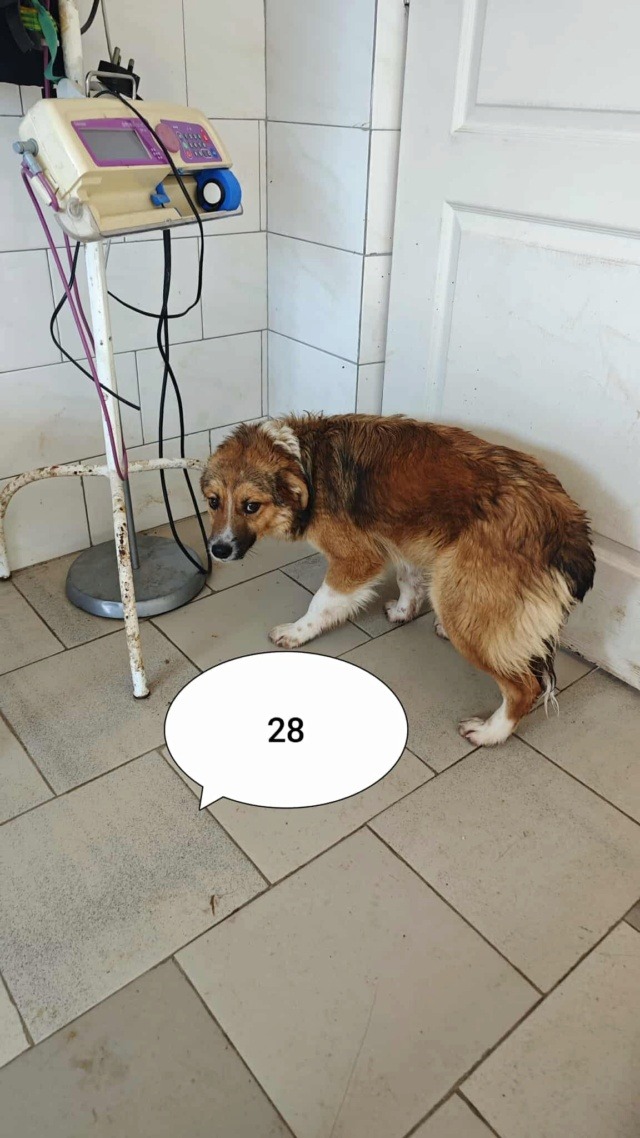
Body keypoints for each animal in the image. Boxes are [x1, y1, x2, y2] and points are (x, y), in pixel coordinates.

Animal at [200, 414, 595, 746]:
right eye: (213, 501)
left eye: (251, 506)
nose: (218, 550)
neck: (307, 464)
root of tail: (565, 522)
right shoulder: (402, 538)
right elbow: (408, 579)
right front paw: (405, 611)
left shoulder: (356, 558)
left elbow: (322, 602)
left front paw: (298, 632)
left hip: (458, 592)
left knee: (524, 687)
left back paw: (490, 733)